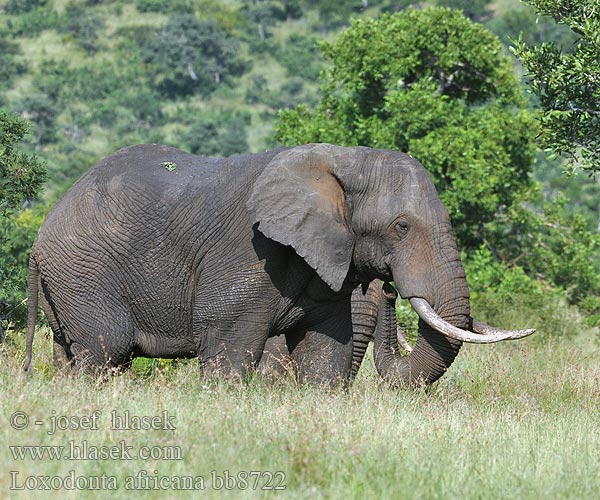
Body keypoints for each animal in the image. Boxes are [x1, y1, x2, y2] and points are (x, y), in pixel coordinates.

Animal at [22, 143, 536, 384]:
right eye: (403, 227)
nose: (390, 288)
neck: (342, 160)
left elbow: (324, 354)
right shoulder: (247, 253)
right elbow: (229, 349)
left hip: (65, 279)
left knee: (71, 353)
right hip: (83, 270)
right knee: (107, 349)